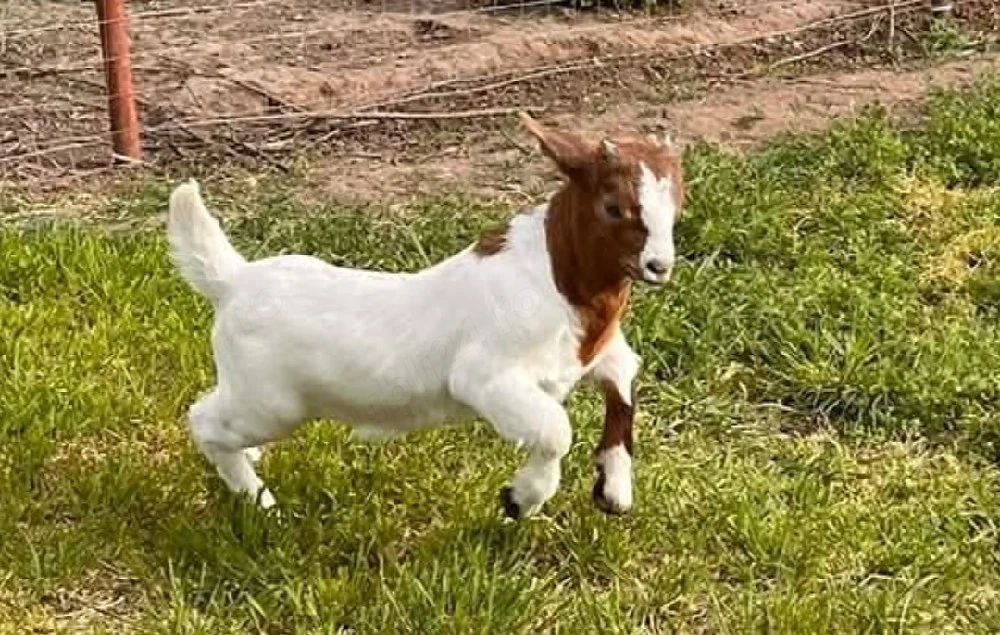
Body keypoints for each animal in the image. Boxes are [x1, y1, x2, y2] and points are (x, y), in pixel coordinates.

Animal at [167, 113, 684, 518]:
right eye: (613, 207)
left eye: (678, 208)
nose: (659, 266)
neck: (556, 278)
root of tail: (234, 281)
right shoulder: (485, 377)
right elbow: (555, 430)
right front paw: (521, 499)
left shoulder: (592, 354)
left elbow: (622, 379)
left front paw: (613, 490)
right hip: (270, 399)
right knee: (203, 419)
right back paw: (258, 501)